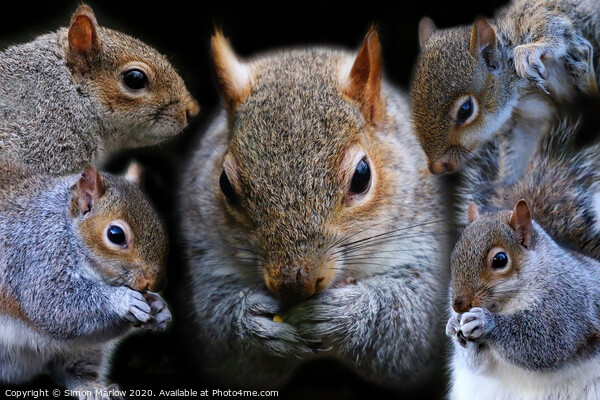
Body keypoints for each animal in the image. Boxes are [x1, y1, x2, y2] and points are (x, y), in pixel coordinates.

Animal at [0, 158, 171, 396]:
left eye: (159, 224)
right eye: (116, 235)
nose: (155, 283)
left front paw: (159, 307)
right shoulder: (34, 259)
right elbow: (50, 305)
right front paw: (123, 300)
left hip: (86, 350)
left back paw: (92, 389)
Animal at [178, 29, 450, 390]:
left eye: (362, 176)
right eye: (224, 184)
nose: (294, 284)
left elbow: (411, 324)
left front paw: (348, 314)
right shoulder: (206, 251)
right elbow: (218, 327)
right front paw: (251, 322)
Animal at [410, 0, 600, 175]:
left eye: (465, 109)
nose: (436, 167)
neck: (523, 94)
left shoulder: (534, 15)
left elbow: (551, 24)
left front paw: (529, 52)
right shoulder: (525, 122)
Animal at [446, 199, 600, 400]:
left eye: (500, 259)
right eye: (454, 256)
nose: (459, 306)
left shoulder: (568, 304)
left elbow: (546, 341)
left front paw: (486, 322)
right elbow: (477, 365)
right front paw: (453, 325)